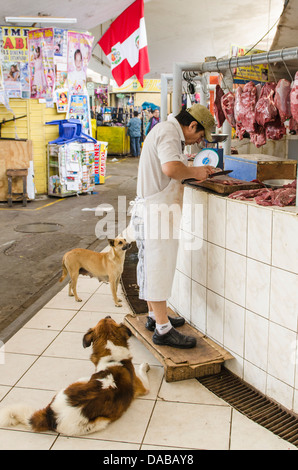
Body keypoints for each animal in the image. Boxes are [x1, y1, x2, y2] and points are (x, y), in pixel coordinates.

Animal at [0, 318, 150, 436]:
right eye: (108, 319)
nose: (108, 315)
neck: (112, 357)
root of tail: (50, 415)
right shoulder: (144, 388)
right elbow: (143, 373)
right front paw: (145, 366)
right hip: (99, 418)